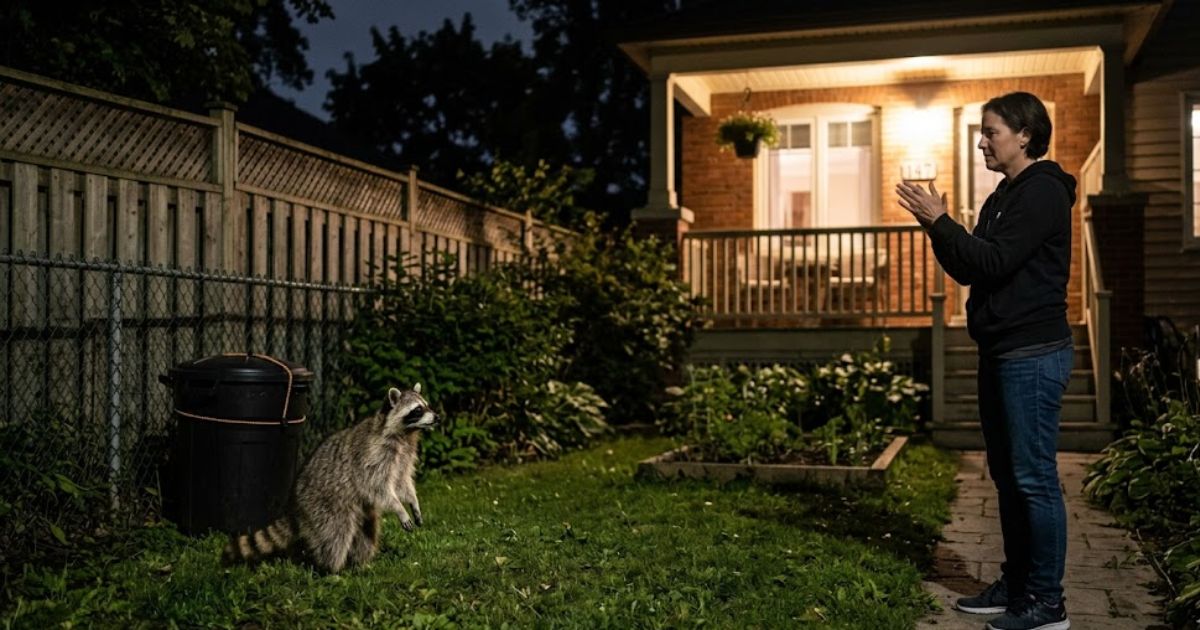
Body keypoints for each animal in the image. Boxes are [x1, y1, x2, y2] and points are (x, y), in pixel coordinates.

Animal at [222, 384, 438, 573]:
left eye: (427, 404)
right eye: (417, 409)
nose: (437, 417)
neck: (405, 434)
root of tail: (295, 505)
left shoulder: (403, 456)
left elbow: (401, 482)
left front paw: (413, 502)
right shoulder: (373, 455)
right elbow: (377, 486)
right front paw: (399, 508)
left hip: (359, 512)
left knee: (367, 534)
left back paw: (360, 564)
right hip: (325, 505)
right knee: (335, 535)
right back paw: (330, 569)